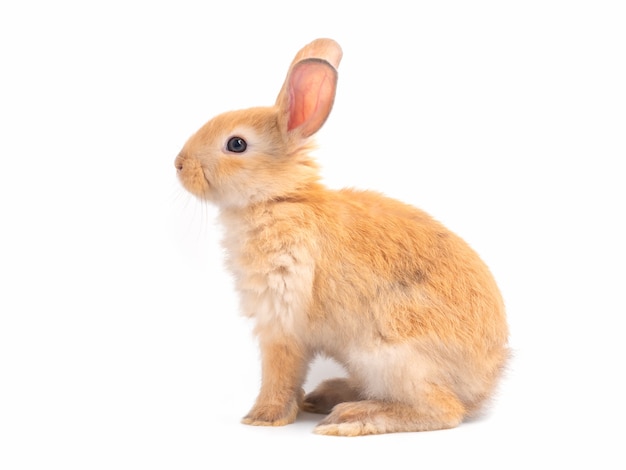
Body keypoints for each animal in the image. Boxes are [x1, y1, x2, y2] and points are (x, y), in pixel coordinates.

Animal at [172, 37, 508, 436]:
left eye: (236, 144)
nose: (178, 164)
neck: (278, 199)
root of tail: (484, 384)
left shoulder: (282, 318)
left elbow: (279, 372)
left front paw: (262, 417)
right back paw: (325, 397)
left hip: (390, 355)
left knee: (443, 410)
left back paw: (350, 417)